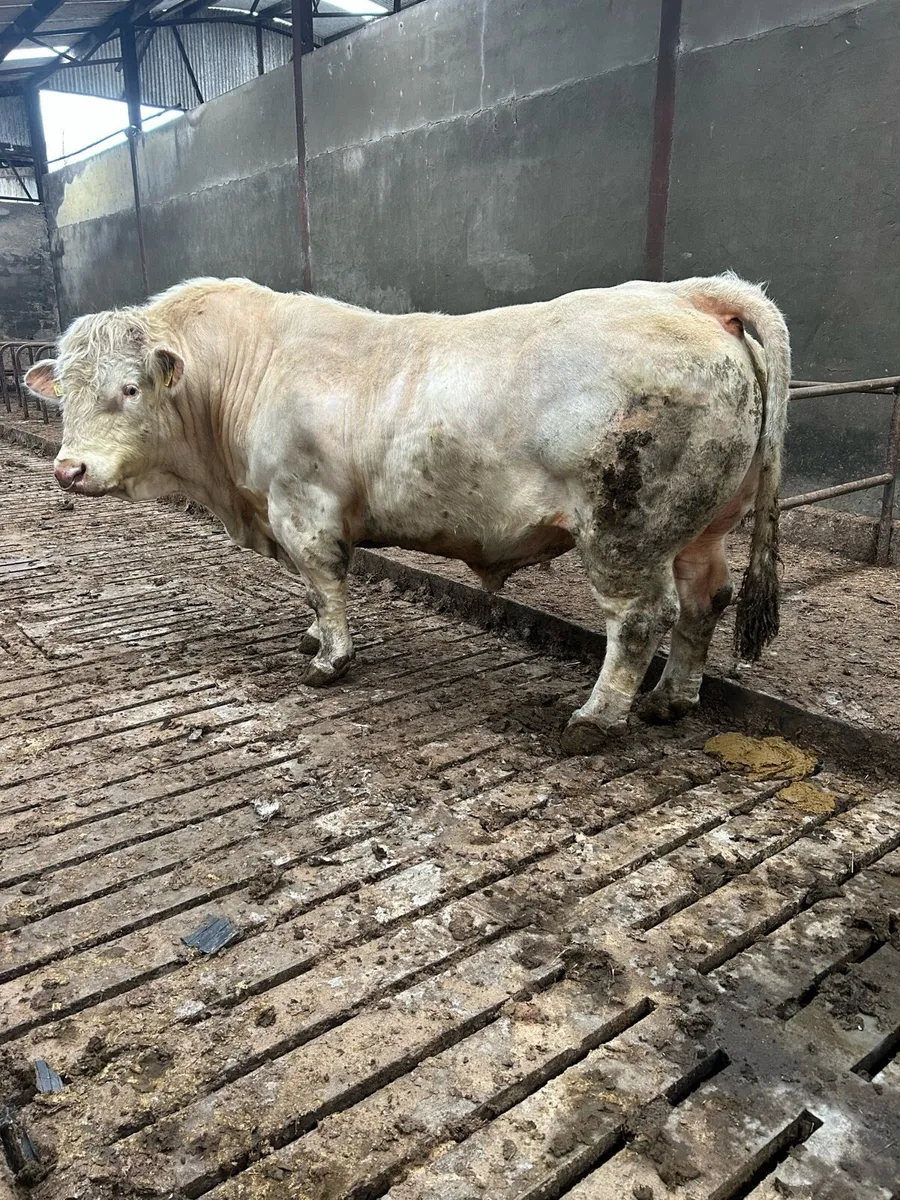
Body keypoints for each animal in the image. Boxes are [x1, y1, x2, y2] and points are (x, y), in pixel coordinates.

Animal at [25, 274, 790, 754]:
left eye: (130, 388)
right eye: (65, 389)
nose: (69, 470)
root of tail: (689, 295)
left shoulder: (305, 507)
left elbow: (326, 584)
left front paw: (329, 658)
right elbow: (312, 592)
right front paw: (312, 635)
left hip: (624, 529)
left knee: (639, 620)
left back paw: (597, 719)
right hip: (702, 527)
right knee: (705, 601)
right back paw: (670, 699)